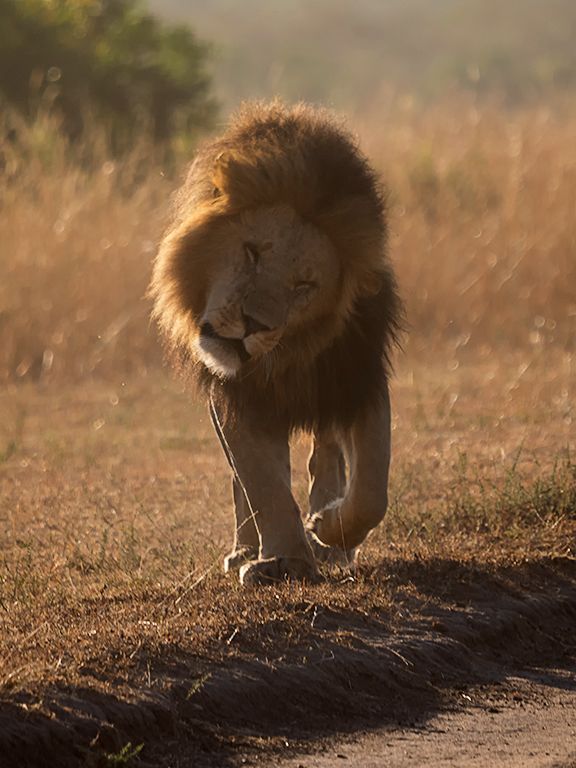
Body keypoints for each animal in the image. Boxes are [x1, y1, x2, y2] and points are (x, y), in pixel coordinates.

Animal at [150, 101, 402, 585]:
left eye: (304, 285)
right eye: (252, 252)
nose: (253, 324)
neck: (287, 354)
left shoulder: (356, 376)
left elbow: (372, 488)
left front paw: (329, 530)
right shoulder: (237, 395)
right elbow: (261, 480)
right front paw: (284, 560)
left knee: (326, 455)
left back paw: (328, 538)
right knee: (245, 480)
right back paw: (247, 549)